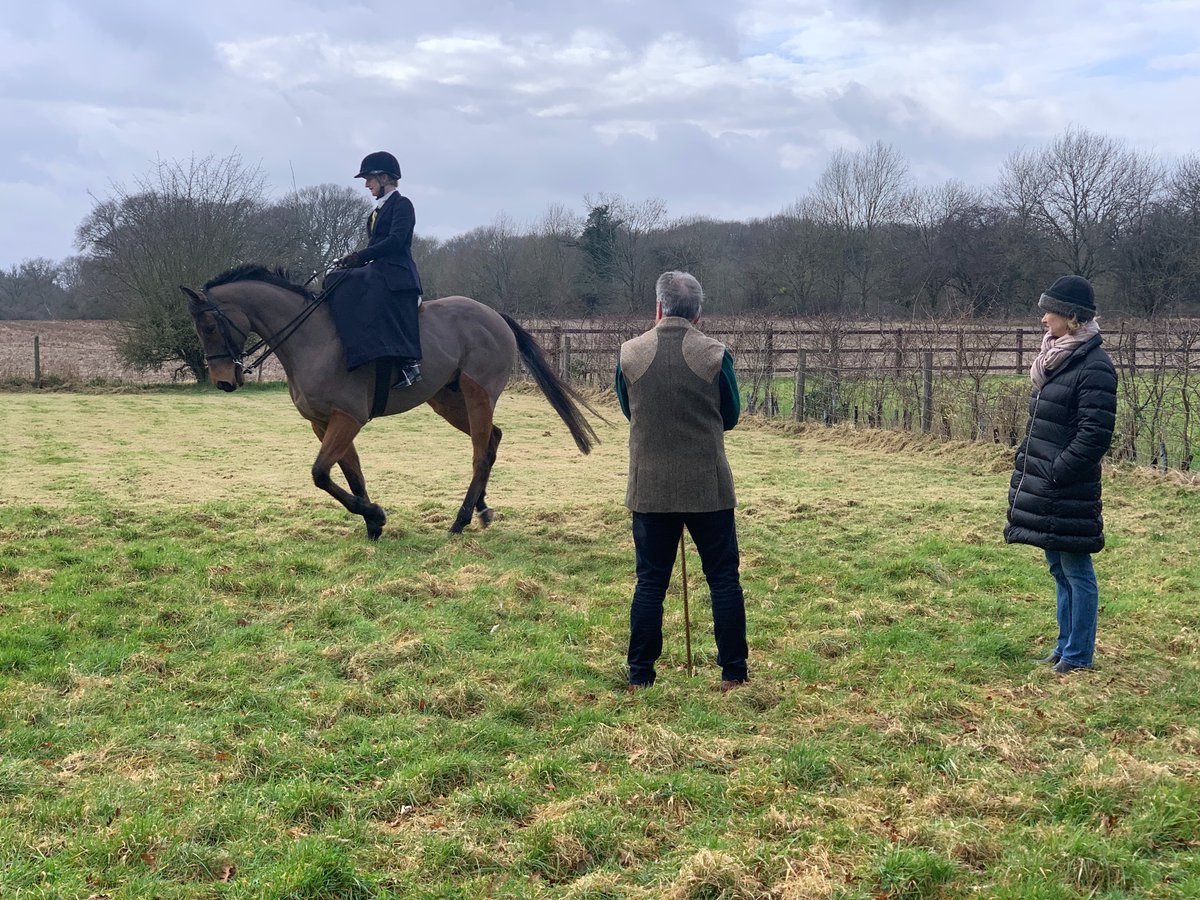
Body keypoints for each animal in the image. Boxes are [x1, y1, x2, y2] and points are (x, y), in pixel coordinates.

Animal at [178, 264, 600, 540]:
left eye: (210, 325)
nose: (223, 382)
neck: (311, 339)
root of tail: (492, 314)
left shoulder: (347, 418)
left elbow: (320, 474)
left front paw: (375, 514)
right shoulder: (323, 423)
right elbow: (350, 475)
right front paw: (372, 524)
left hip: (477, 393)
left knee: (481, 453)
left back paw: (461, 520)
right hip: (446, 401)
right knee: (491, 441)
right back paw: (481, 509)